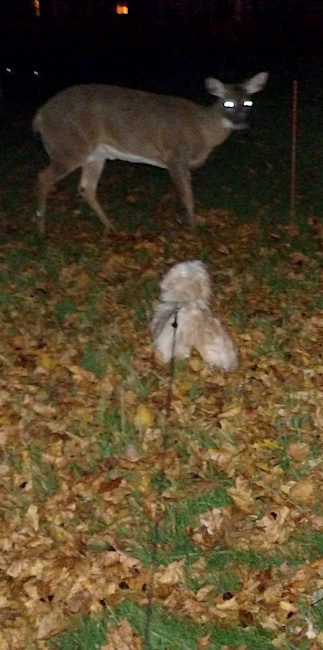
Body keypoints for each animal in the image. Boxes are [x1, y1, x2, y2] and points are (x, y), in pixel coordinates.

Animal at [33, 70, 268, 232]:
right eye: (228, 103)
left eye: (248, 102)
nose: (241, 123)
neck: (203, 130)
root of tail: (40, 116)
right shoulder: (175, 155)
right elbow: (186, 195)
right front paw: (193, 229)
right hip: (68, 145)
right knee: (43, 177)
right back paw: (41, 228)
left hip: (95, 154)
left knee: (86, 188)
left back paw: (111, 227)